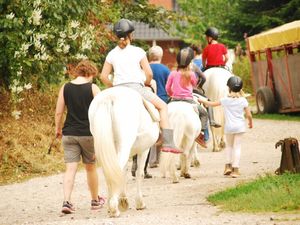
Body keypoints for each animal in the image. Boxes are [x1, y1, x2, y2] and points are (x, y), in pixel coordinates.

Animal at [88, 85, 159, 216]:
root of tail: (109, 97)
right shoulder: (144, 150)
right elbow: (139, 173)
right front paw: (139, 203)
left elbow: (123, 173)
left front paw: (123, 201)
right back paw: (113, 208)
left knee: (110, 171)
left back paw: (112, 205)